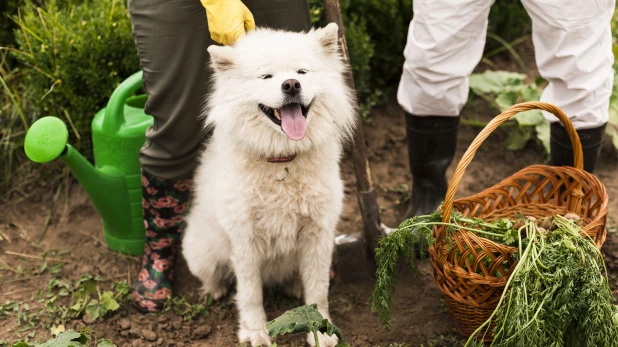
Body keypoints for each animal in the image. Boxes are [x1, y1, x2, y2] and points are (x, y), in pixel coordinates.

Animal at [182, 23, 356, 347]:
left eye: (301, 72)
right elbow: (250, 293)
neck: (282, 159)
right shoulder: (245, 239)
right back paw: (214, 290)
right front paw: (255, 332)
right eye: (265, 77)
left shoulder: (318, 234)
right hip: (202, 254)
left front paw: (321, 332)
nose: (291, 85)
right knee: (213, 276)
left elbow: (318, 291)